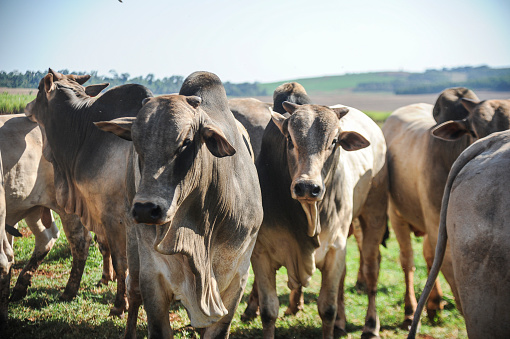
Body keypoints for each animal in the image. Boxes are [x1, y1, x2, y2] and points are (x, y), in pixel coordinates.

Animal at [94, 70, 262, 338]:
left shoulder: (237, 276)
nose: (146, 209)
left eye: (186, 142)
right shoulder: (153, 276)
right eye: (136, 142)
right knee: (132, 289)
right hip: (132, 238)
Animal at [247, 99, 386, 339]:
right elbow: (268, 311)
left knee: (371, 270)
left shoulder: (335, 249)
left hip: (374, 216)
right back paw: (341, 322)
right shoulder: (261, 253)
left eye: (334, 141)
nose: (307, 186)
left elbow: (327, 309)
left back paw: (370, 325)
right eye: (289, 139)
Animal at [382, 87, 510, 326]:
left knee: (427, 256)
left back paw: (433, 304)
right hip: (396, 215)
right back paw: (410, 309)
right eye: (473, 131)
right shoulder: (438, 230)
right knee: (408, 260)